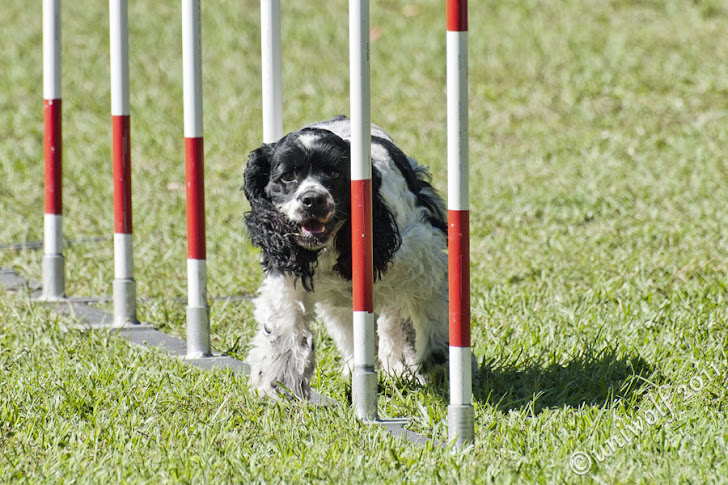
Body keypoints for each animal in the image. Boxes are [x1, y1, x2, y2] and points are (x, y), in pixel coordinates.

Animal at [245, 116, 450, 398]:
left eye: (334, 174)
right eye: (287, 176)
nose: (312, 200)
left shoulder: (419, 258)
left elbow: (433, 314)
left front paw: (438, 363)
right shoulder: (288, 275)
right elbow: (284, 328)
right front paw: (278, 384)